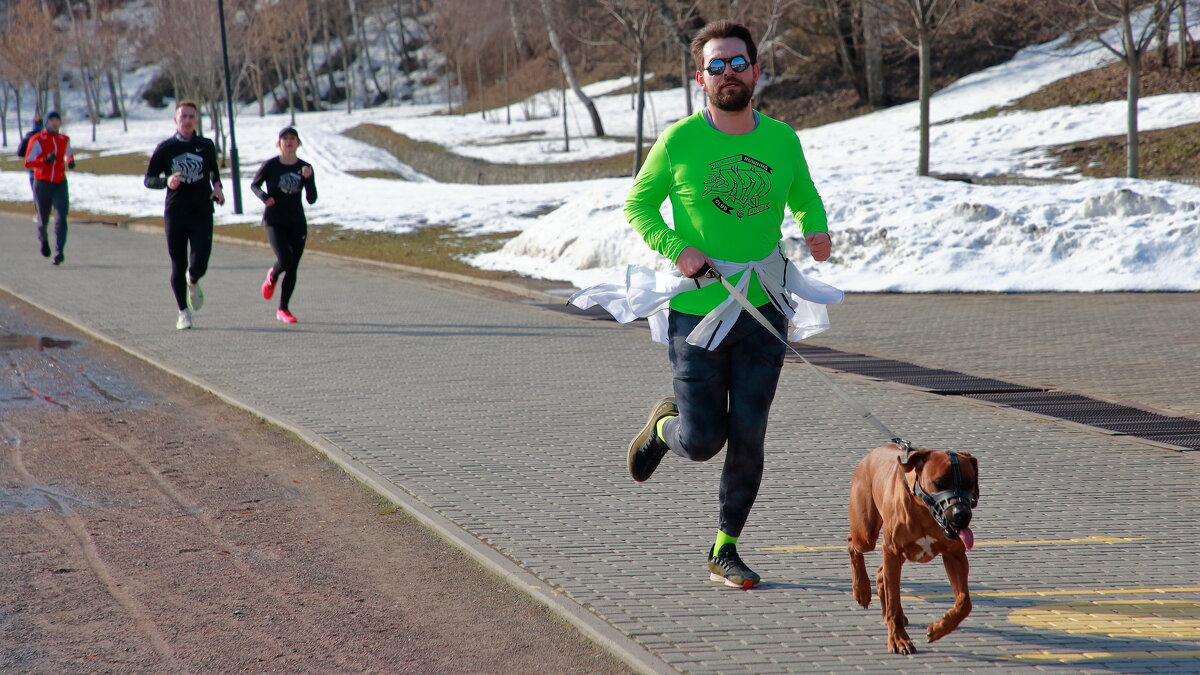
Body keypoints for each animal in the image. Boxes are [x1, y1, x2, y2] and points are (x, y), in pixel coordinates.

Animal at [849, 441, 979, 653]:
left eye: (969, 483)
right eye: (940, 483)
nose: (962, 514)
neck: (924, 511)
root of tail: (874, 452)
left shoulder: (955, 555)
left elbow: (964, 602)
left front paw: (939, 628)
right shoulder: (892, 551)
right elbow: (894, 602)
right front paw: (899, 639)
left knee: (881, 573)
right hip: (866, 534)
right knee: (853, 544)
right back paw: (862, 590)